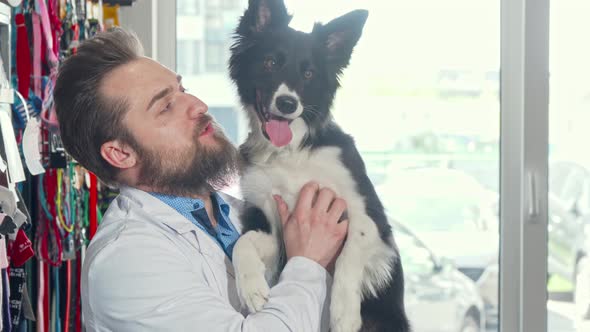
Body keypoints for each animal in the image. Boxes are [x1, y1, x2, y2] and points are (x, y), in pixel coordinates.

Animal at [231, 1, 412, 330]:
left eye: (309, 74)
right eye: (270, 62)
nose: (288, 103)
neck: (291, 153)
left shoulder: (371, 220)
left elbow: (348, 257)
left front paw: (344, 314)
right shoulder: (273, 226)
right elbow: (244, 243)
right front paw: (251, 287)